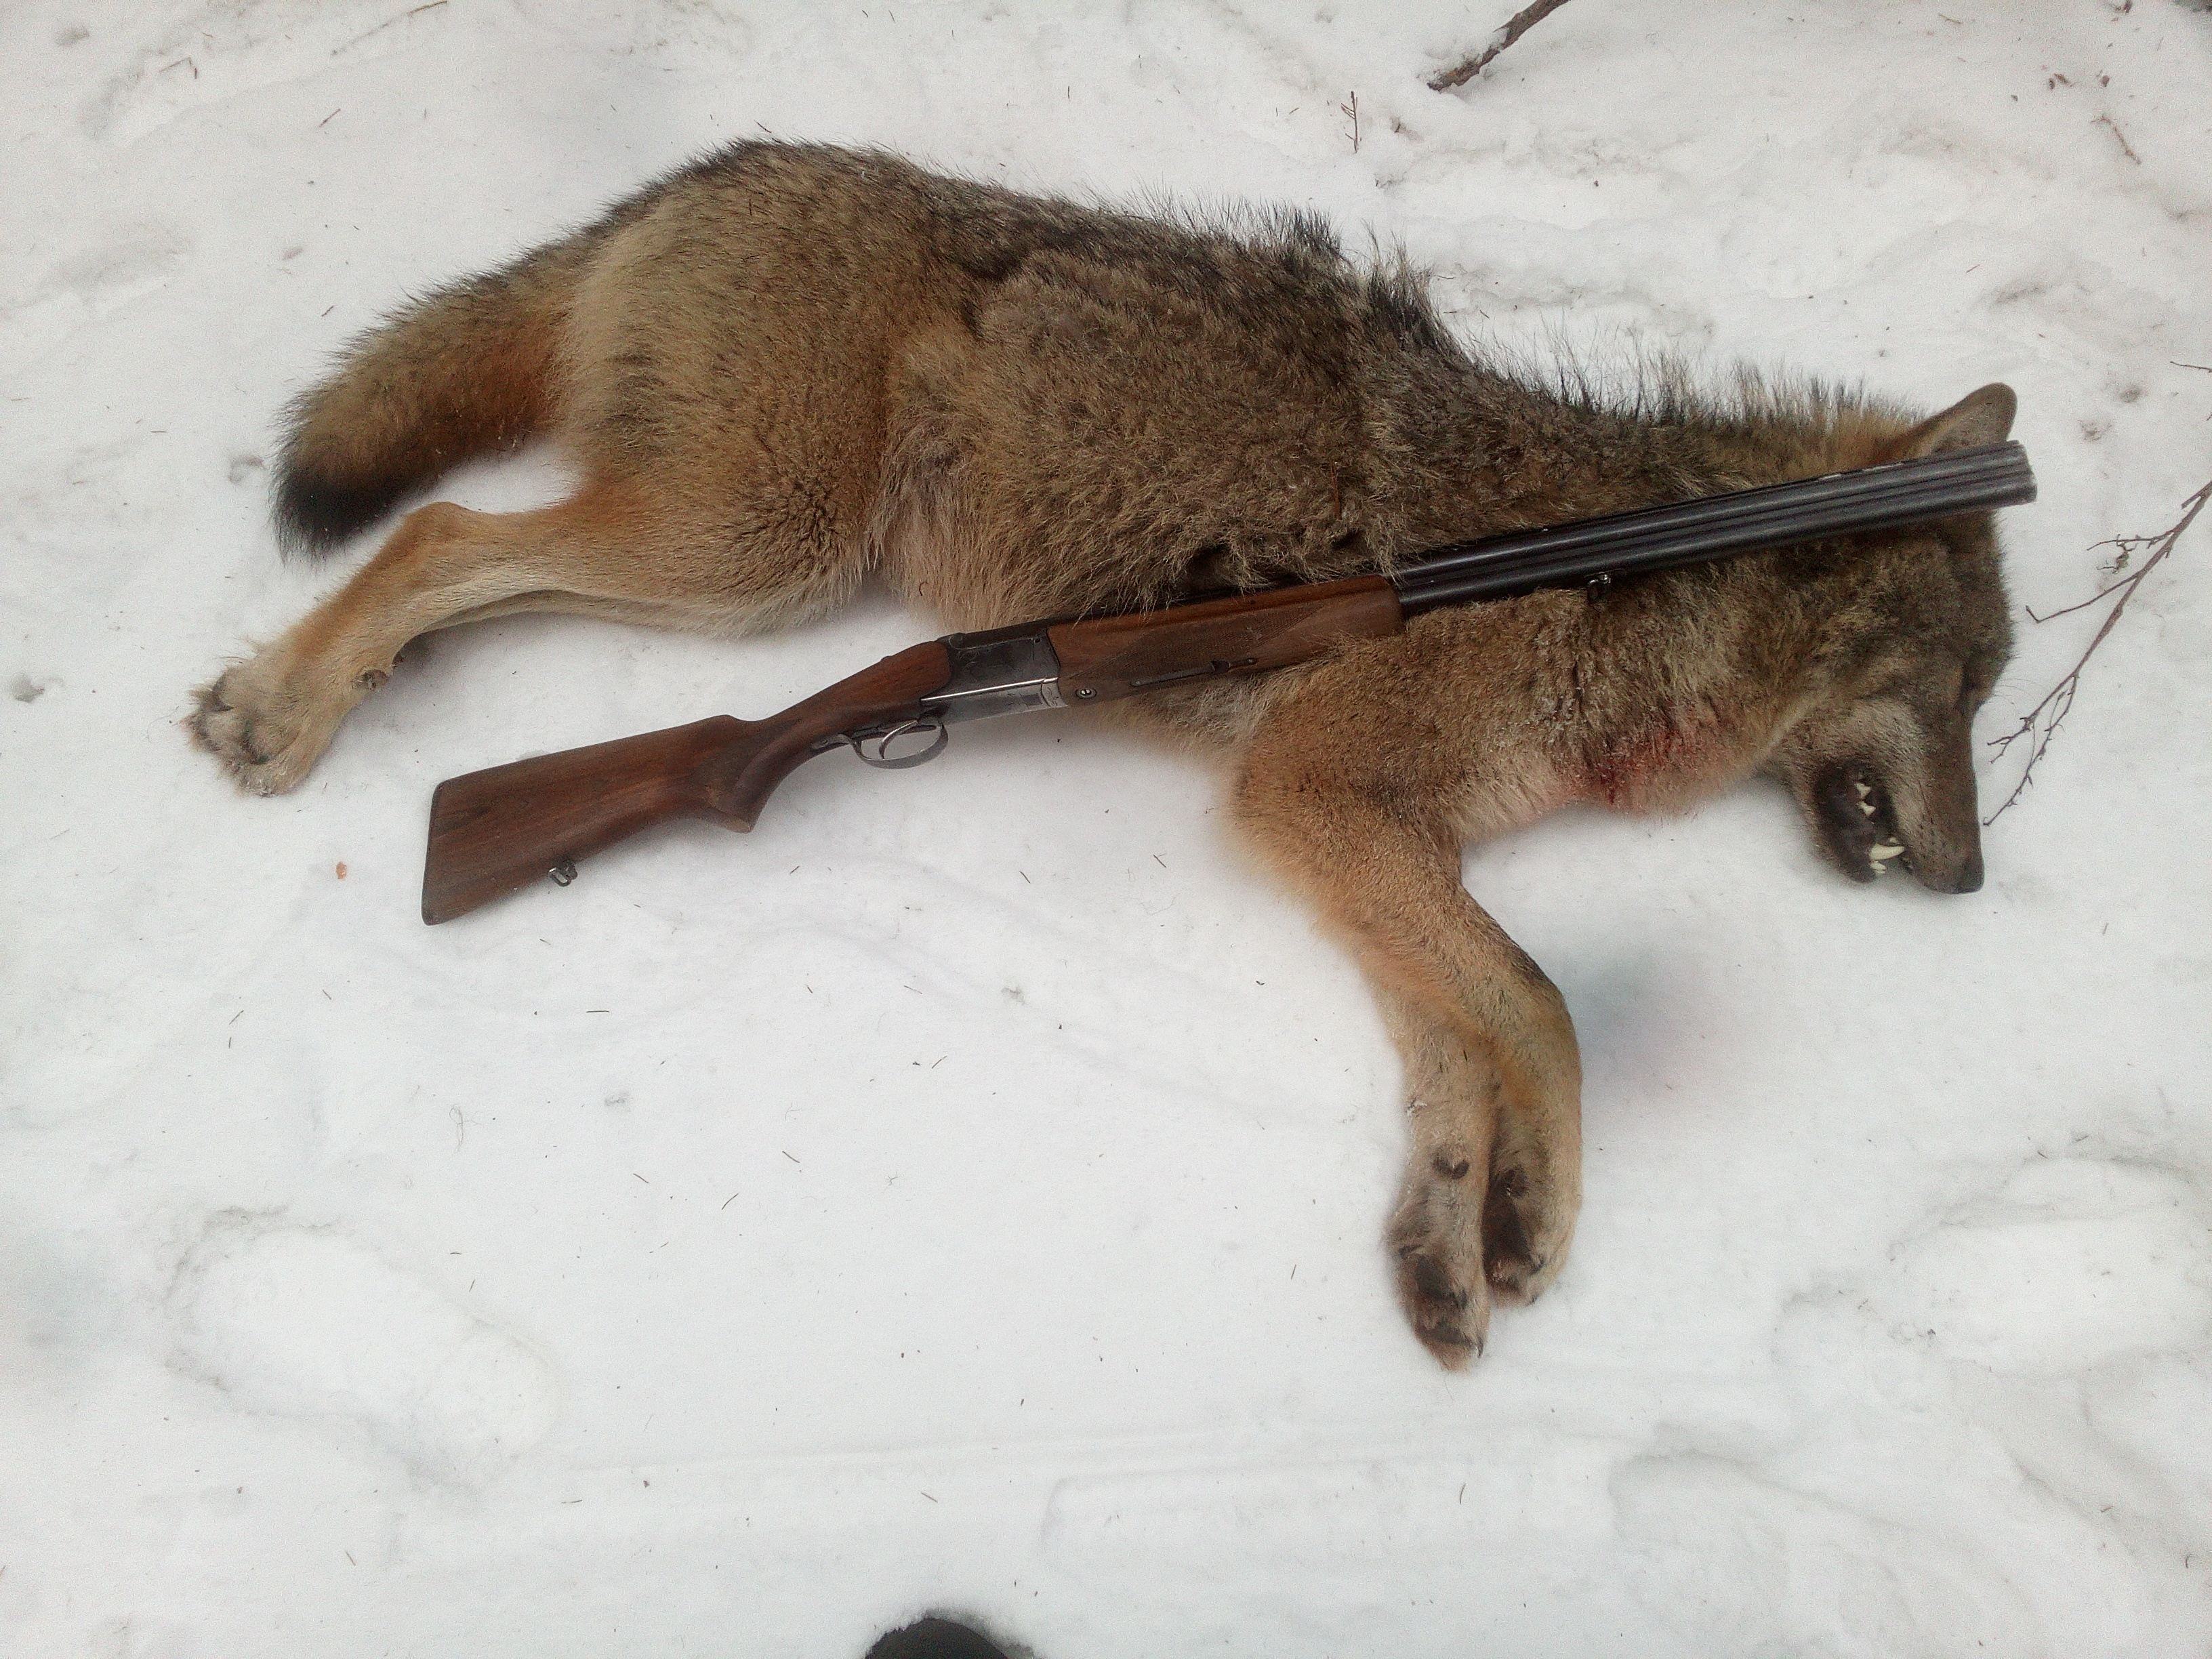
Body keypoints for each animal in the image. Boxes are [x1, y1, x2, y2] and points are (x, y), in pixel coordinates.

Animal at [192, 141, 2017, 1366]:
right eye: (1961, 687)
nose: (1972, 881)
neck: (1630, 582)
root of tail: (712, 165)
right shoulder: (1310, 792)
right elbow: (1544, 1008)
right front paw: (1540, 1216)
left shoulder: (1360, 842)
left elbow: (1455, 1044)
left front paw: (1449, 1243)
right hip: (758, 556)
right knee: (438, 533)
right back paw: (278, 712)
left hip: (736, 560)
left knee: (473, 564)